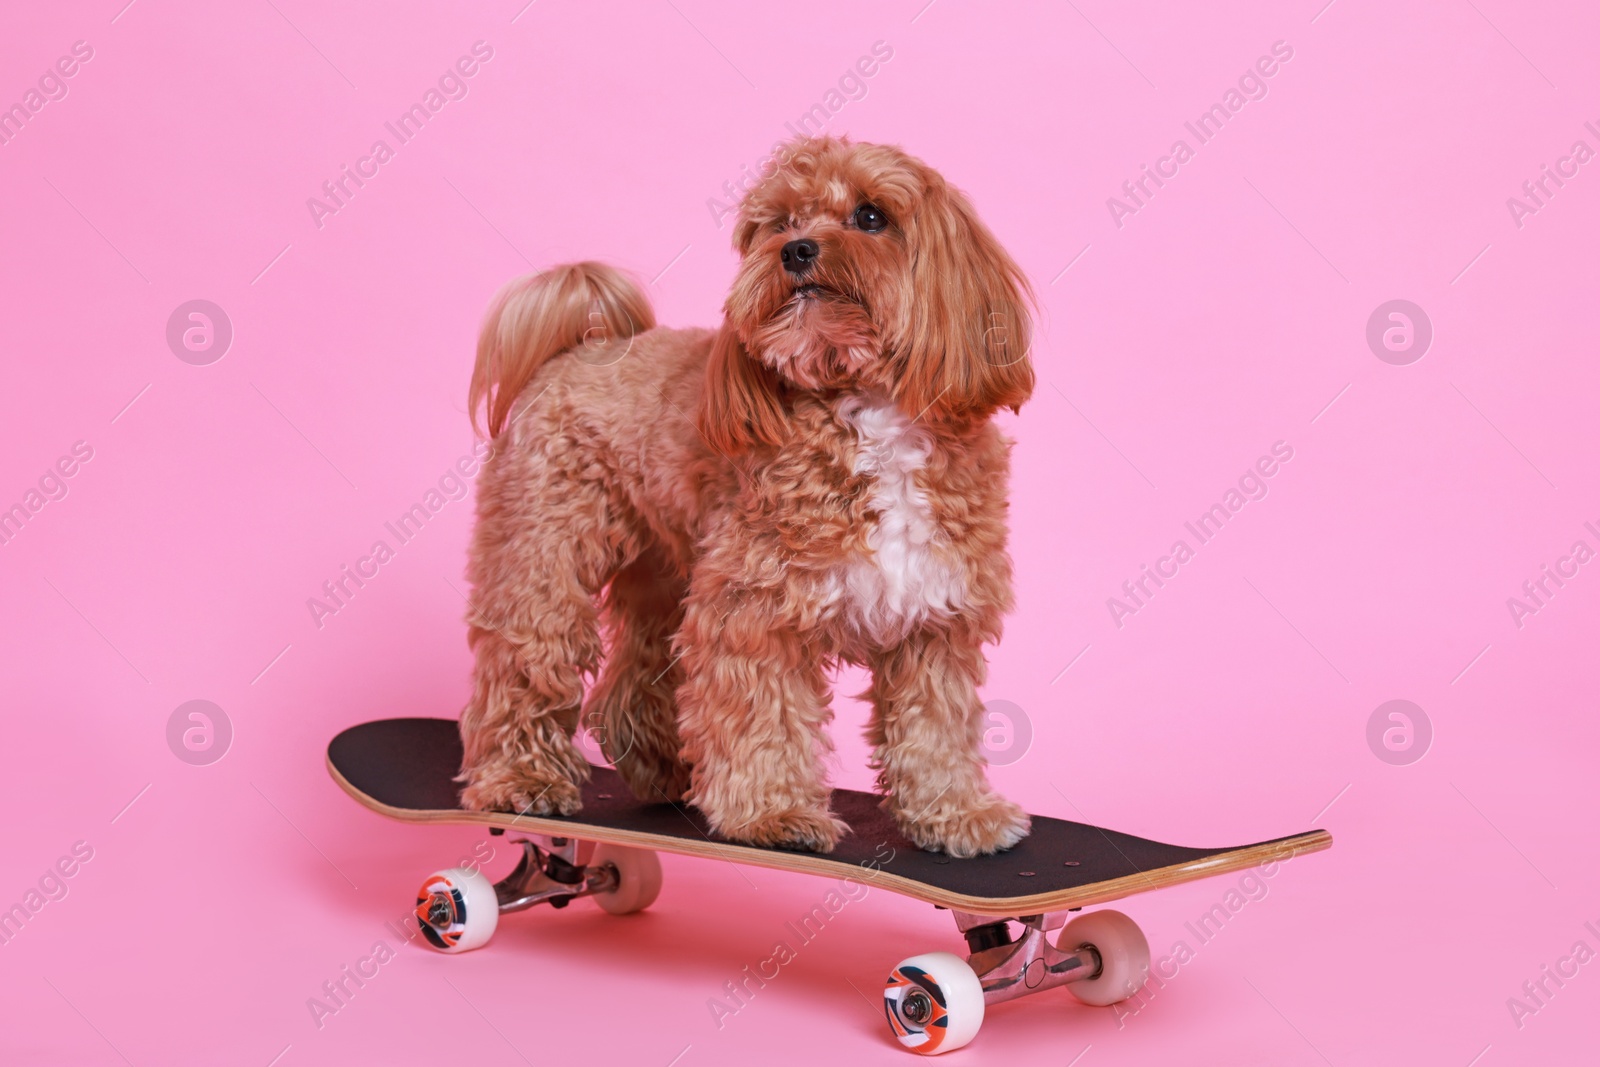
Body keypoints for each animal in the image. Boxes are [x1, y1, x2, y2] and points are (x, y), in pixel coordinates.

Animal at [460, 135, 1036, 857]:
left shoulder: (936, 618)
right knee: (527, 659)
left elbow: (936, 727)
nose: (796, 251)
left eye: (871, 217)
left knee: (634, 681)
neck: (867, 409)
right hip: (543, 556)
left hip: (667, 571)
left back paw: (665, 768)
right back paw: (521, 776)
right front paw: (773, 813)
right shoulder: (755, 610)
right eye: (780, 224)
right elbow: (766, 714)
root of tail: (582, 347)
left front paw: (957, 813)